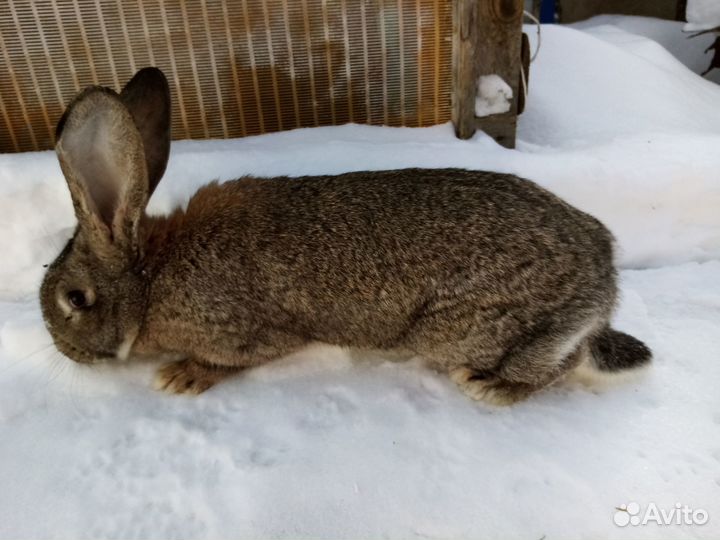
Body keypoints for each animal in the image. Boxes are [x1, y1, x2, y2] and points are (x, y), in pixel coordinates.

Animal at [39, 67, 651, 405]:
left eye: (76, 299)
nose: (65, 353)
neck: (153, 277)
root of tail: (604, 278)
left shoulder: (249, 332)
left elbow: (231, 360)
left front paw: (179, 377)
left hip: (473, 332)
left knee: (559, 364)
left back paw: (493, 389)